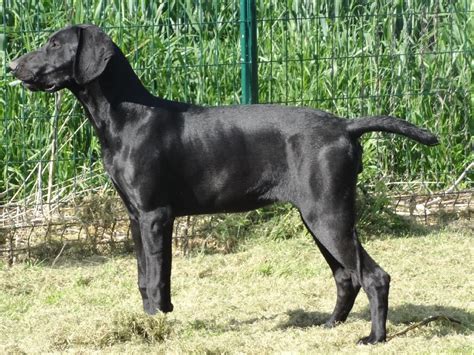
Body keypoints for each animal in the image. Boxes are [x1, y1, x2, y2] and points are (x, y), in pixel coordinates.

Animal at [9, 25, 436, 344]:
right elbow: (147, 278)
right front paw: (155, 320)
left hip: (328, 214)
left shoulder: (154, 216)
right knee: (346, 276)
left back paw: (375, 337)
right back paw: (331, 324)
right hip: (318, 216)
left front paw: (155, 326)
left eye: (54, 44)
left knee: (373, 276)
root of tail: (345, 126)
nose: (12, 65)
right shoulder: (136, 217)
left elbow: (155, 277)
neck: (127, 116)